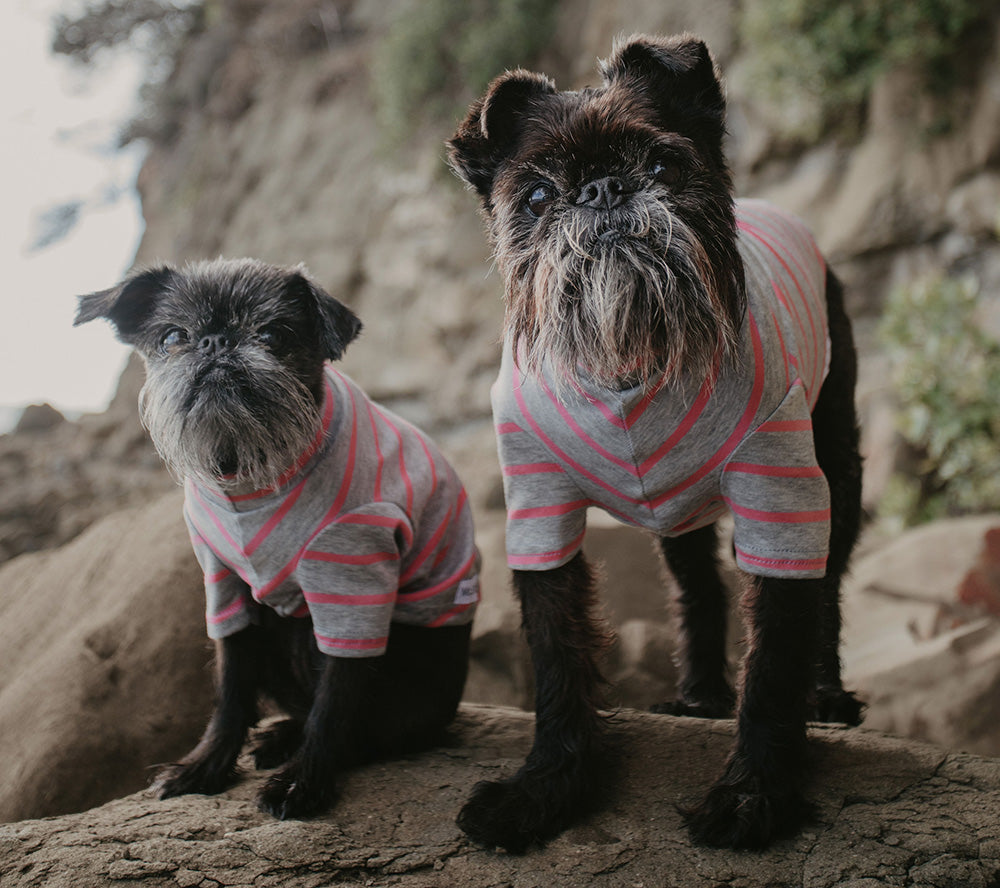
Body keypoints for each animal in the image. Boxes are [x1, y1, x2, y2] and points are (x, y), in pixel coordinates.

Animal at [446, 34, 860, 852]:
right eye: (536, 198)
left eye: (664, 165)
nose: (603, 190)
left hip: (839, 462)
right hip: (682, 516)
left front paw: (754, 793)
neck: (628, 363)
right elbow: (558, 658)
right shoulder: (539, 513)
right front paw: (548, 786)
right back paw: (698, 695)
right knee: (697, 587)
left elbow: (777, 658)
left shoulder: (784, 498)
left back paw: (827, 695)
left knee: (829, 587)